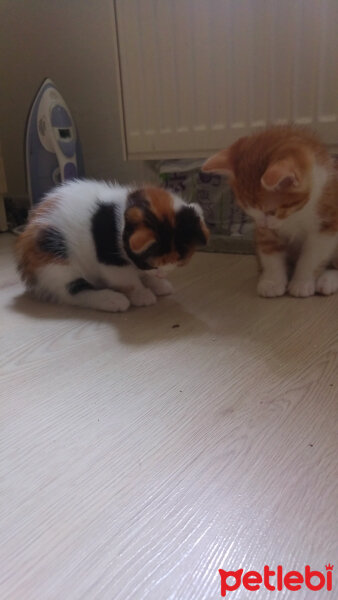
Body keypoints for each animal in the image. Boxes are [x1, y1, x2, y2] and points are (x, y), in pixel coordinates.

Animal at [16, 178, 209, 312]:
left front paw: (158, 284)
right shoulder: (108, 254)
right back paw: (111, 299)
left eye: (179, 263)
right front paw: (141, 293)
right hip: (54, 258)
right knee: (71, 291)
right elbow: (125, 278)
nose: (161, 274)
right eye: (151, 264)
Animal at [202, 125, 338, 298]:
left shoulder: (327, 224)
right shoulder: (265, 231)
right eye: (249, 210)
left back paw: (327, 281)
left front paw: (302, 282)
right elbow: (270, 251)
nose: (263, 224)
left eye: (272, 211)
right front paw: (272, 282)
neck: (295, 215)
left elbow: (312, 255)